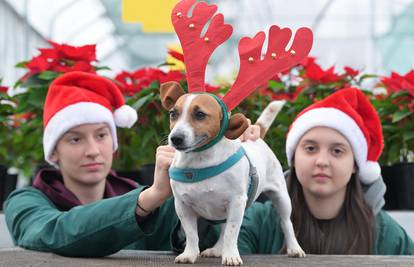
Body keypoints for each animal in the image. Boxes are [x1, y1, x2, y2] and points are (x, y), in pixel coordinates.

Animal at [163, 0, 312, 264]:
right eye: (173, 113)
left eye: (200, 114)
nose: (176, 138)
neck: (200, 162)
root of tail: (258, 136)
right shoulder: (184, 207)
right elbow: (192, 234)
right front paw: (190, 253)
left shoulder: (236, 203)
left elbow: (233, 233)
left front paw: (231, 256)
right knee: (222, 230)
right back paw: (215, 249)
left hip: (281, 198)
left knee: (286, 223)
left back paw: (294, 248)